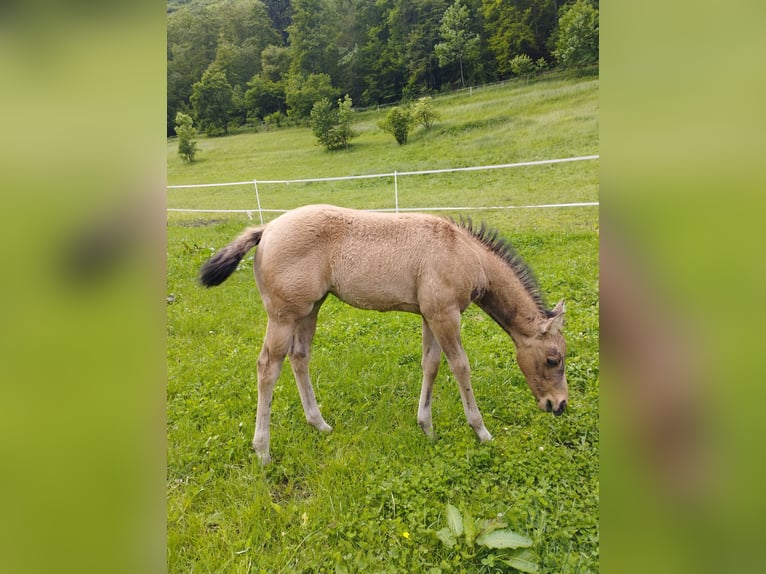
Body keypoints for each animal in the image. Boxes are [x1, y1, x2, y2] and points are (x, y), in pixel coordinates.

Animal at [200, 205, 568, 466]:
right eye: (554, 359)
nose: (559, 405)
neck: (465, 252)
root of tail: (267, 229)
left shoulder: (431, 315)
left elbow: (431, 364)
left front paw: (427, 427)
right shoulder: (445, 314)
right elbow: (461, 366)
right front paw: (481, 431)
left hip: (310, 308)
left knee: (299, 356)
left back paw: (319, 424)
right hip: (283, 315)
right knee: (268, 366)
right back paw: (263, 450)